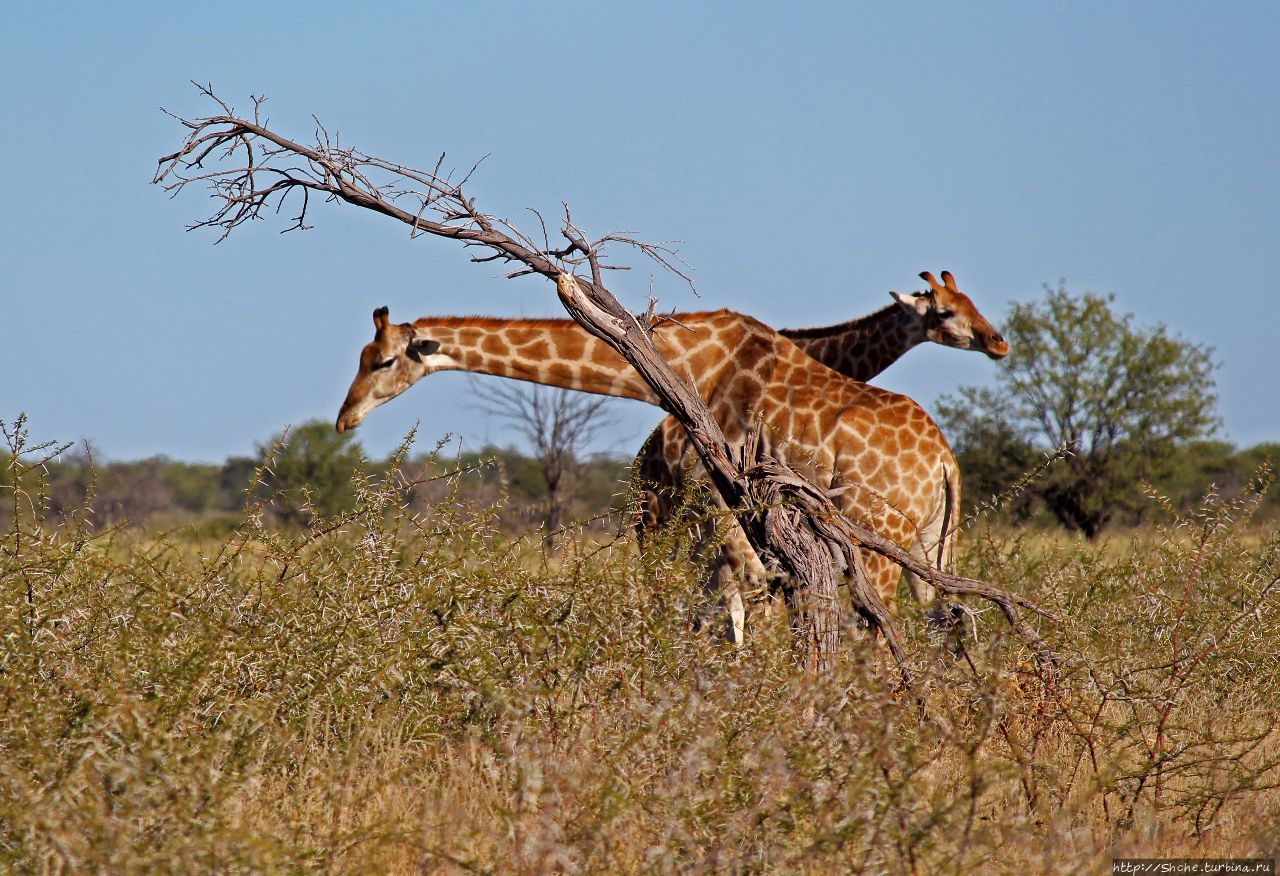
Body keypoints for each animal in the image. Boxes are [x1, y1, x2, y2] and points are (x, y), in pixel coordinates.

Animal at [336, 299, 962, 643]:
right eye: (361, 359)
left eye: (383, 361)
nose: (346, 417)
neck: (687, 361)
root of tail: (946, 462)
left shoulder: (720, 505)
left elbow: (742, 606)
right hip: (931, 544)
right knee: (944, 621)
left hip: (877, 539)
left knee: (876, 629)